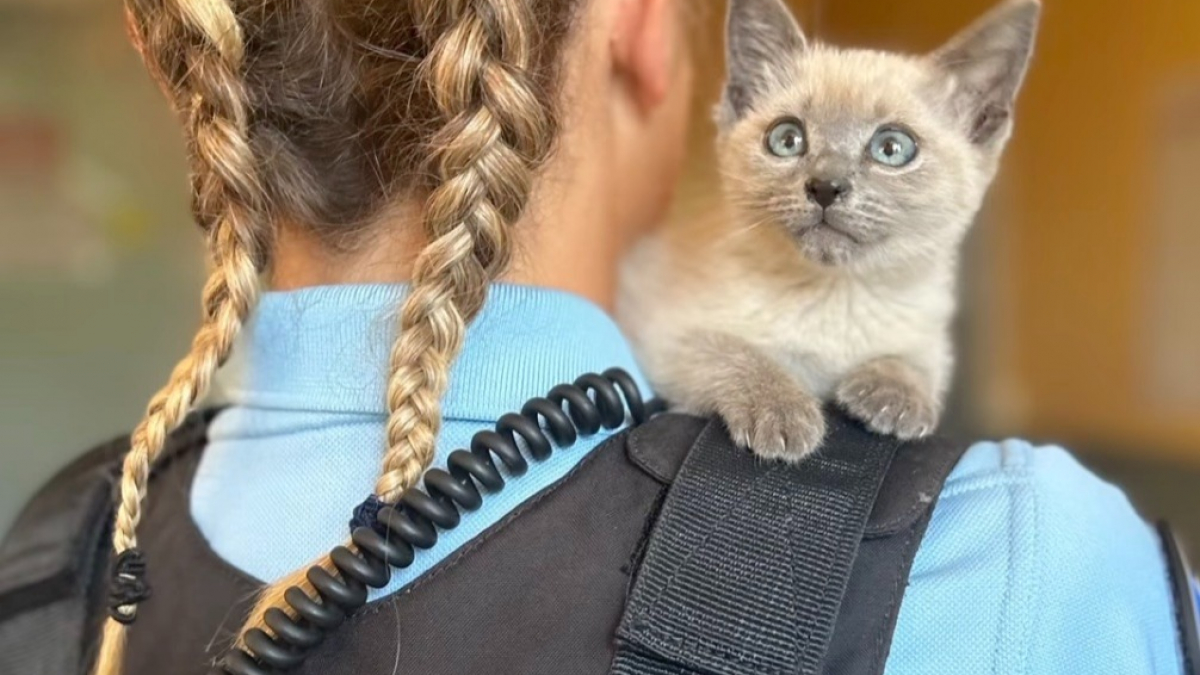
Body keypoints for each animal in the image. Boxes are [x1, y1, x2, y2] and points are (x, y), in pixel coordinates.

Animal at [619, 0, 1041, 458]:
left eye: (892, 148)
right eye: (787, 139)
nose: (825, 186)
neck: (837, 294)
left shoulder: (929, 337)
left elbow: (918, 361)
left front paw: (891, 396)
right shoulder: (661, 328)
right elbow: (727, 349)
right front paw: (781, 410)